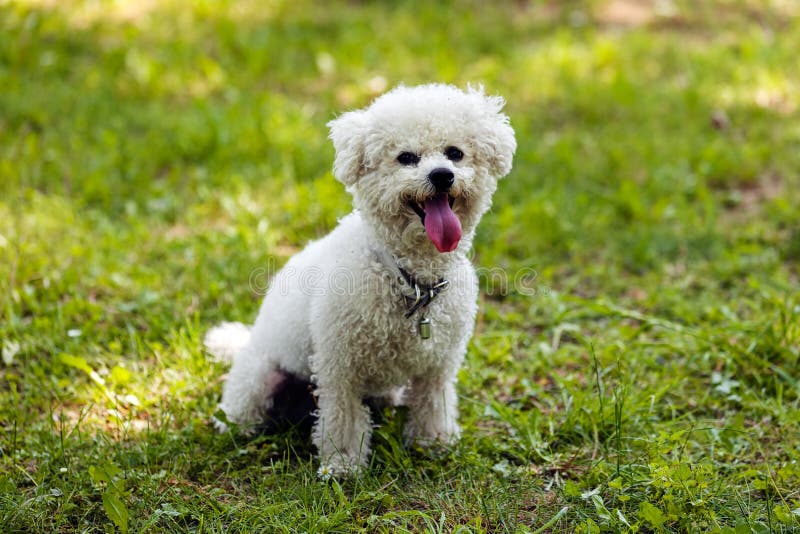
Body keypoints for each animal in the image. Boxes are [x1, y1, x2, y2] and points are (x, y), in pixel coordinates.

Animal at [206, 84, 516, 478]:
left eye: (455, 153)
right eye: (406, 158)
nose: (442, 175)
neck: (409, 277)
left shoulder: (439, 365)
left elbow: (433, 403)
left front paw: (433, 442)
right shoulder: (340, 369)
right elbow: (344, 420)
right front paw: (342, 465)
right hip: (260, 377)